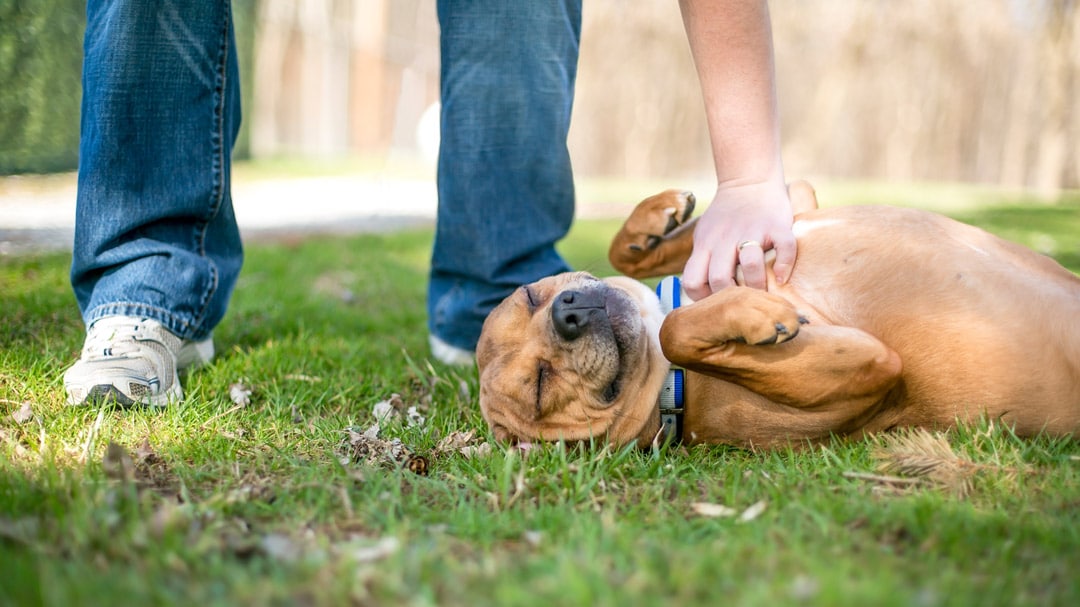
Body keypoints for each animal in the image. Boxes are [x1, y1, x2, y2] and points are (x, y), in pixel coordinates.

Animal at [477, 181, 1080, 447]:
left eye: (529, 295)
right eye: (541, 383)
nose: (568, 314)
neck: (674, 389)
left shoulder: (792, 206)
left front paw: (654, 220)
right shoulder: (870, 371)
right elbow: (675, 330)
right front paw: (757, 314)